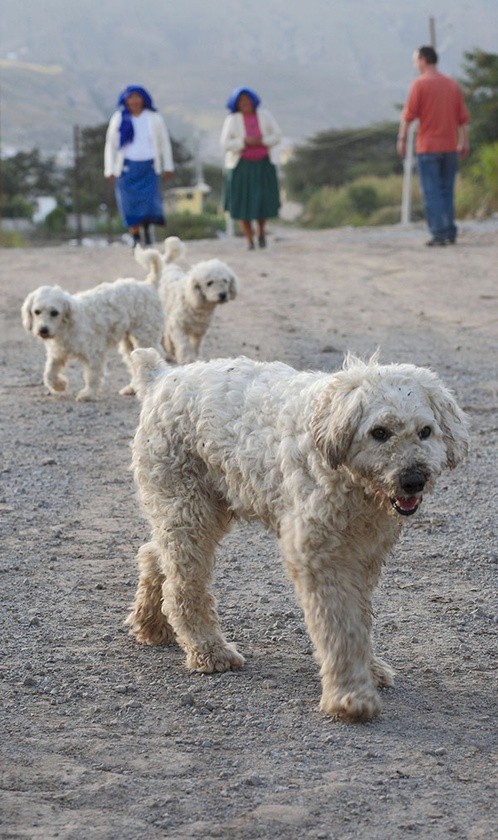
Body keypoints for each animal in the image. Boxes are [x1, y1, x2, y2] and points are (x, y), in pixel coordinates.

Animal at [20, 254, 163, 402]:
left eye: (54, 312)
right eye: (36, 312)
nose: (43, 330)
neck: (66, 326)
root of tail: (148, 285)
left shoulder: (94, 353)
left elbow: (92, 375)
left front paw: (88, 394)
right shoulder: (57, 353)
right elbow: (49, 374)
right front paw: (60, 385)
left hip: (145, 338)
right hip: (129, 344)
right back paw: (131, 388)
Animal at [126, 348, 468, 720]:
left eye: (425, 431)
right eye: (379, 432)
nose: (413, 480)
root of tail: (161, 377)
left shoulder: (363, 555)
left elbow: (360, 621)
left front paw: (370, 669)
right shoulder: (319, 557)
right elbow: (341, 629)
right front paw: (350, 696)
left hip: (197, 509)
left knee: (153, 554)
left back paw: (150, 625)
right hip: (188, 509)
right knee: (182, 586)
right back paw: (209, 650)